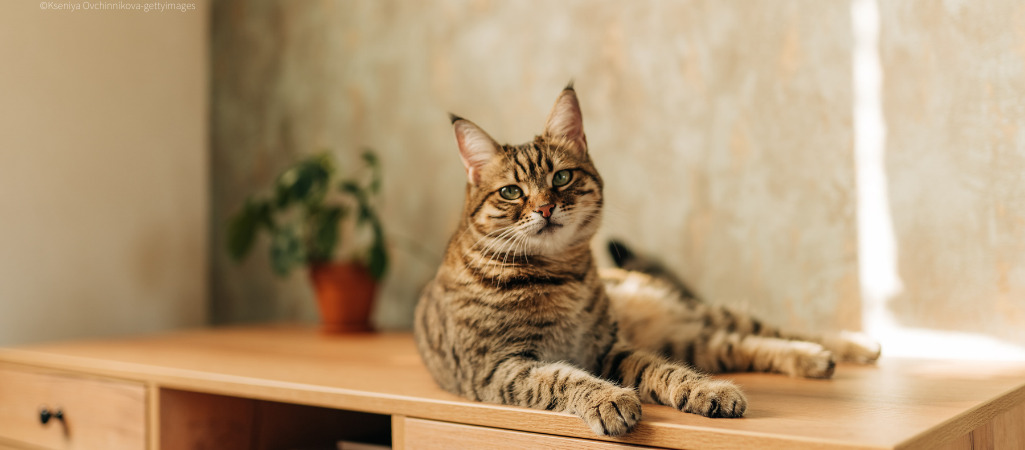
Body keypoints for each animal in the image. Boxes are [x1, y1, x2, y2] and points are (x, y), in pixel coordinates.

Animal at [414, 84, 881, 436]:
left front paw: (705, 391)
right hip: (694, 340)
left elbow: (664, 371)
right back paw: (812, 357)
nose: (545, 208)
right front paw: (609, 398)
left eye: (562, 177)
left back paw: (848, 346)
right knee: (743, 344)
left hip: (698, 317)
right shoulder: (500, 368)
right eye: (511, 191)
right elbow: (561, 377)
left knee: (772, 328)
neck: (558, 274)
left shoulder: (611, 349)